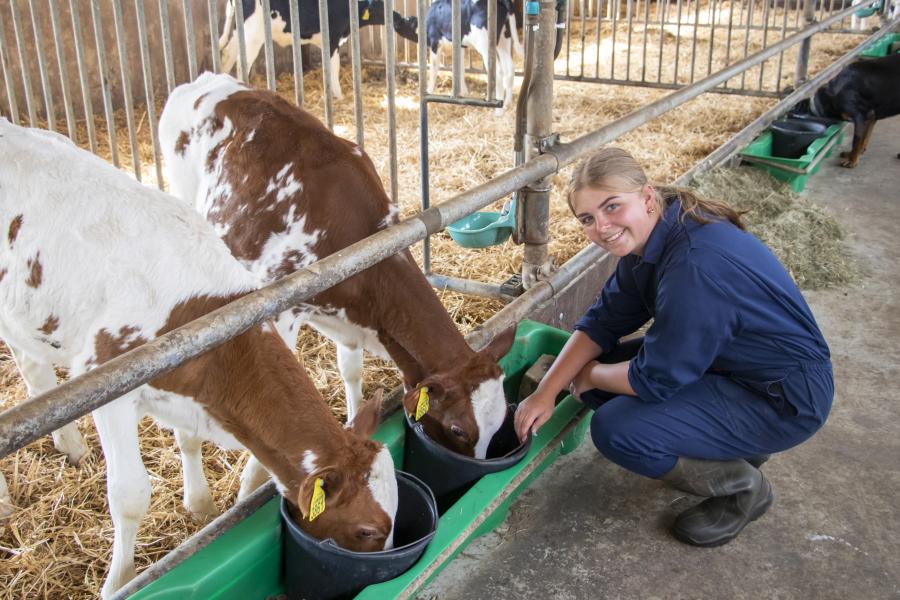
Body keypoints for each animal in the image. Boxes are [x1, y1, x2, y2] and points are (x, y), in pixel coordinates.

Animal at [0, 119, 398, 596]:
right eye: (366, 530)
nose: (387, 567)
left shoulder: (183, 387)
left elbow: (187, 441)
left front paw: (201, 504)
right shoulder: (108, 385)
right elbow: (130, 496)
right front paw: (119, 582)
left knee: (32, 365)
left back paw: (71, 446)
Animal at [218, 0, 418, 98]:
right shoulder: (331, 39)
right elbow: (333, 68)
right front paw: (338, 96)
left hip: (239, 30)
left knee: (227, 54)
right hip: (254, 32)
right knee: (242, 61)